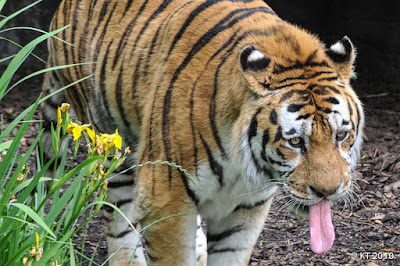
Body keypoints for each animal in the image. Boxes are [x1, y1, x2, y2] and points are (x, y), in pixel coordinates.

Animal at [41, 0, 366, 264]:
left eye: (340, 136)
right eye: (296, 141)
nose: (328, 191)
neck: (242, 164)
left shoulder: (246, 209)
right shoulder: (165, 198)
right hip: (112, 142)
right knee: (119, 214)